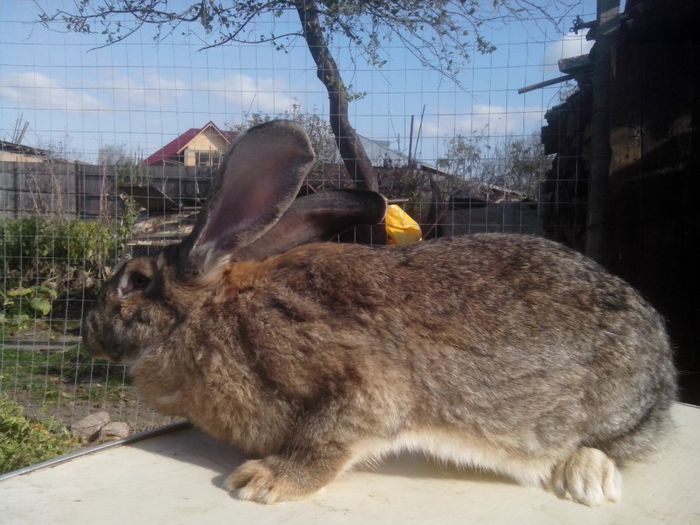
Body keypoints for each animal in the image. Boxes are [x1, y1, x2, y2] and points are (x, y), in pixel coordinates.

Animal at [85, 118, 676, 504]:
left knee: (615, 444)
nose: (90, 331)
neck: (210, 314)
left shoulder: (361, 386)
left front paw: (263, 481)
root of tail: (662, 364)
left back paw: (585, 477)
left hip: (616, 409)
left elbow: (326, 438)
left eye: (134, 283)